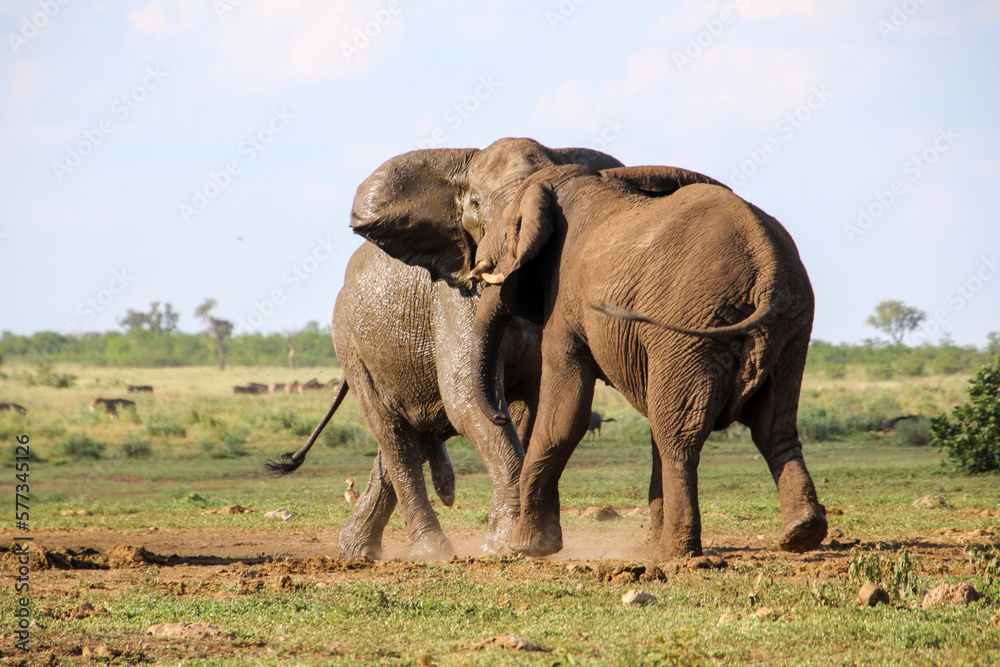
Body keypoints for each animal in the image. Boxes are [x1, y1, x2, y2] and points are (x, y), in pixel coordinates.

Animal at [268, 140, 623, 559]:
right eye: (475, 203)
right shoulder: (452, 300)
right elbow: (466, 398)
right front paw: (504, 544)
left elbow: (529, 408)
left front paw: (508, 541)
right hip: (351, 345)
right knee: (394, 436)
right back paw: (430, 552)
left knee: (403, 442)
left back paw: (358, 551)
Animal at [353, 151, 827, 559]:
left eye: (503, 228)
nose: (502, 413)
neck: (560, 183)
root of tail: (767, 263)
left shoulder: (565, 298)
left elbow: (564, 412)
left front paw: (529, 547)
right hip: (790, 327)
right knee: (773, 424)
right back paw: (799, 533)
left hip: (696, 325)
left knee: (677, 432)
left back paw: (674, 552)